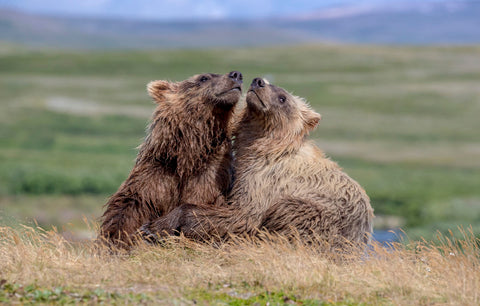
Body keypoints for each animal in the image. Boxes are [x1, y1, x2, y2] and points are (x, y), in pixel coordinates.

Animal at [100, 71, 244, 249]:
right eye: (203, 78)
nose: (236, 75)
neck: (188, 157)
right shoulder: (158, 172)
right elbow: (130, 204)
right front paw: (116, 240)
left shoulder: (211, 174)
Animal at [141, 77, 374, 250]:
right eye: (269, 82)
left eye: (283, 97)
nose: (258, 81)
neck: (262, 145)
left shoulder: (266, 178)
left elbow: (242, 214)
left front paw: (154, 227)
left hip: (320, 215)